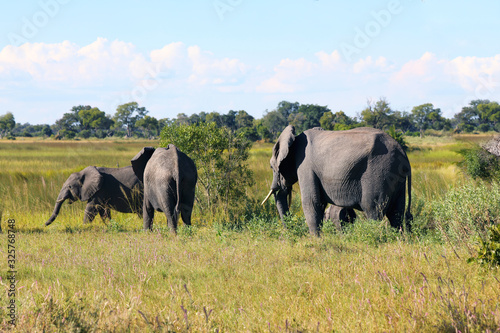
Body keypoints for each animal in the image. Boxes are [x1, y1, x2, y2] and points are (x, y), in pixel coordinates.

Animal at [260, 125, 412, 236]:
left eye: (271, 167)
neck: (294, 140)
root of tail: (403, 154)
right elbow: (320, 204)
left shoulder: (305, 166)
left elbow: (311, 202)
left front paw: (316, 240)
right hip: (396, 178)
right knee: (396, 214)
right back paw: (398, 239)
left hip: (379, 173)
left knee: (373, 210)